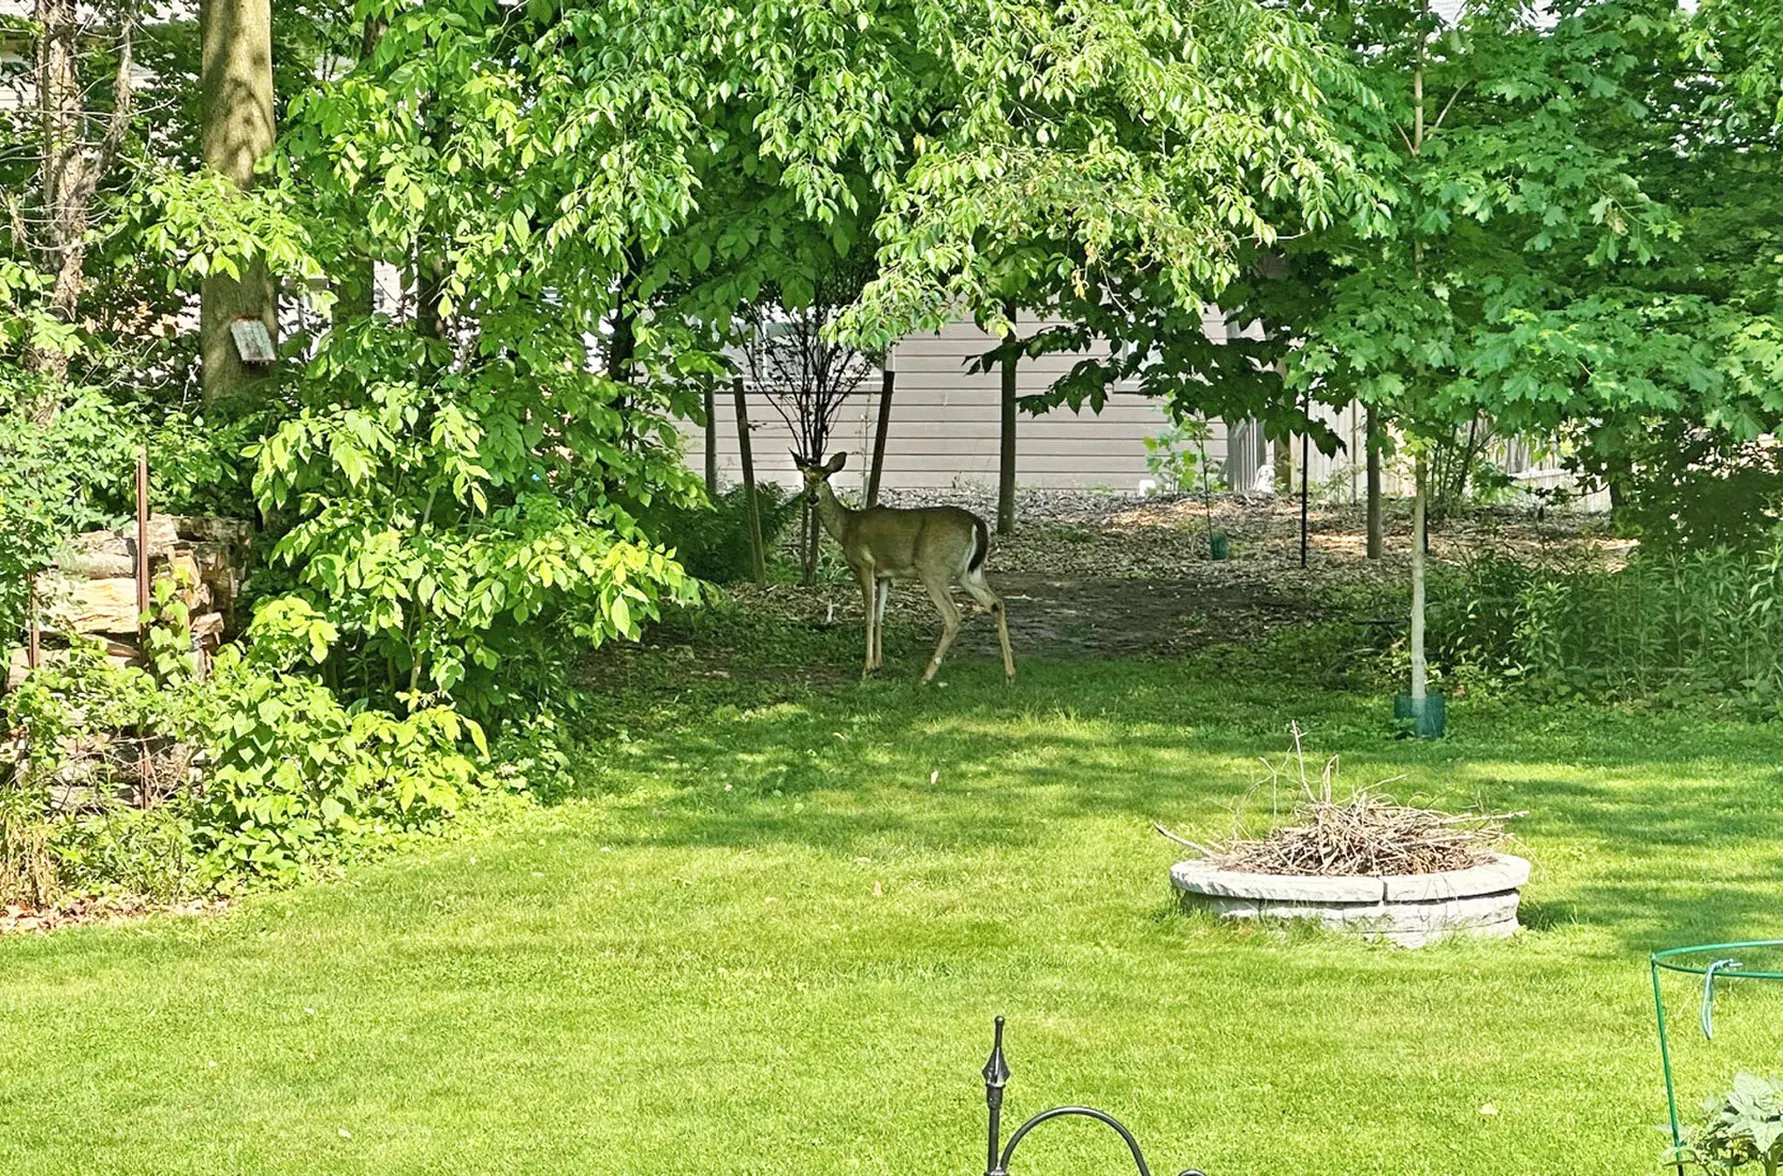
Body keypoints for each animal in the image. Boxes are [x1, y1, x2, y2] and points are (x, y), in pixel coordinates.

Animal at [793, 451, 1015, 684]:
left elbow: (869, 615)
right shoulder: (885, 575)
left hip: (932, 568)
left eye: (825, 477)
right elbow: (880, 615)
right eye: (805, 477)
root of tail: (978, 525)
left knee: (953, 616)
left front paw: (866, 668)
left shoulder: (864, 564)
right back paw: (1009, 674)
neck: (846, 528)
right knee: (996, 603)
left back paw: (926, 676)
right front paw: (878, 664)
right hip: (970, 572)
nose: (812, 497)